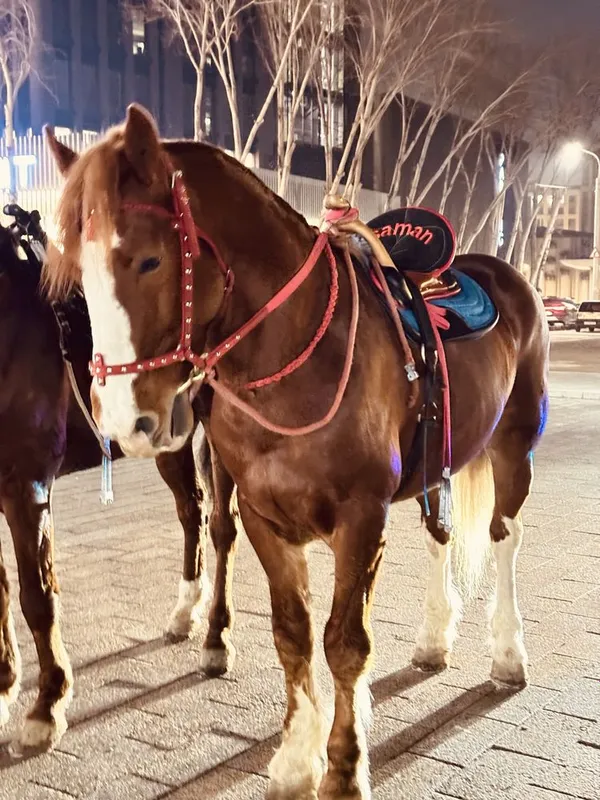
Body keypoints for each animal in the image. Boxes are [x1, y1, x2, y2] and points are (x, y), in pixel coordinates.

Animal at [0, 204, 238, 754]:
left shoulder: (26, 484)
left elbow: (36, 596)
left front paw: (47, 706)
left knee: (222, 528)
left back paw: (216, 638)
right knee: (192, 509)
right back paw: (185, 612)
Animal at [45, 104, 549, 800]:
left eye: (148, 261)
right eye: (77, 272)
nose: (125, 420)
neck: (295, 355)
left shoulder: (361, 519)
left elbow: (345, 643)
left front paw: (344, 766)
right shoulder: (265, 517)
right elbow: (293, 634)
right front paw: (294, 758)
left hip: (514, 444)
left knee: (504, 537)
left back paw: (507, 653)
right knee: (440, 536)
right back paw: (432, 638)